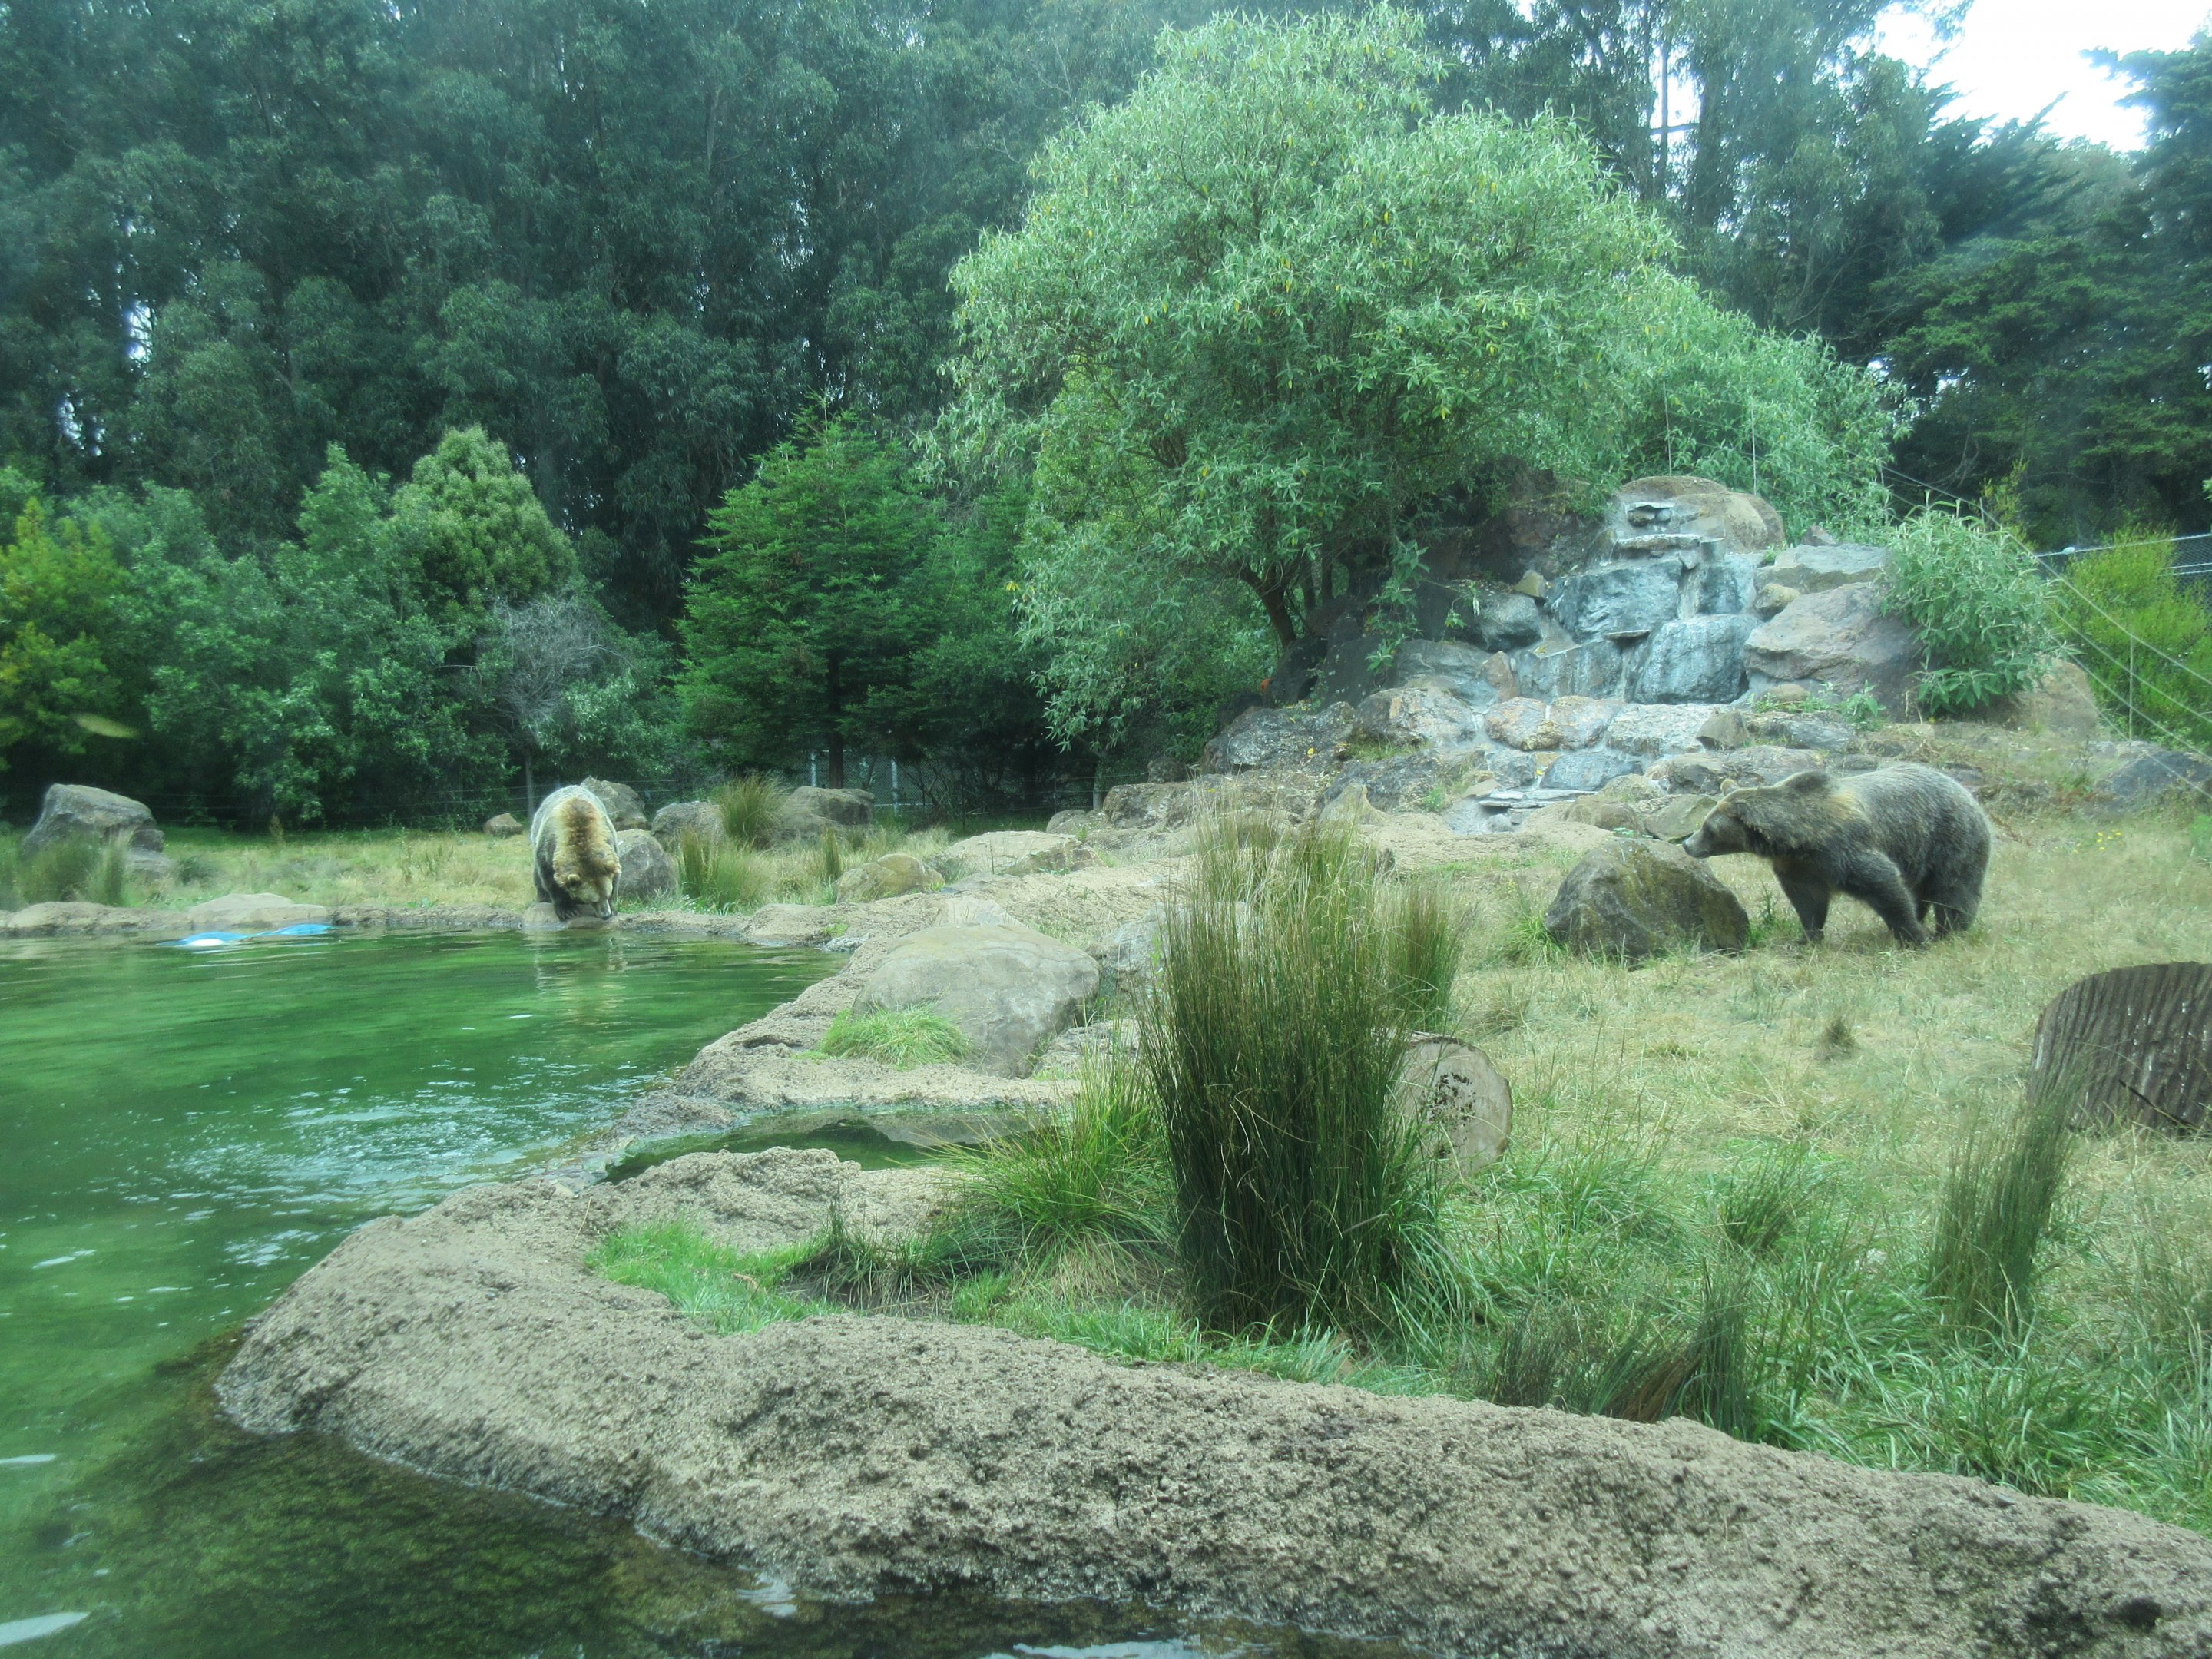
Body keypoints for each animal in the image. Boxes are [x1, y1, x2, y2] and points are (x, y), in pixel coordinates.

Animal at [529, 784, 621, 922]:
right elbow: (550, 879)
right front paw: (567, 910)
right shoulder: (549, 848)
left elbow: (615, 876)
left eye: (607, 894)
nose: (606, 915)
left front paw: (613, 908)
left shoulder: (610, 843)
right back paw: (543, 897)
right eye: (593, 900)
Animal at [1682, 762, 1990, 948]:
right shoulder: (1800, 867)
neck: (1801, 839)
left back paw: (1950, 931)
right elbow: (1808, 903)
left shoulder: (1846, 851)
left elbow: (1886, 886)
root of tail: (1964, 791)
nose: (1687, 843)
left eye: (1709, 828)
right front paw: (1806, 938)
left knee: (1954, 890)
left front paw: (1914, 936)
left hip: (1950, 839)